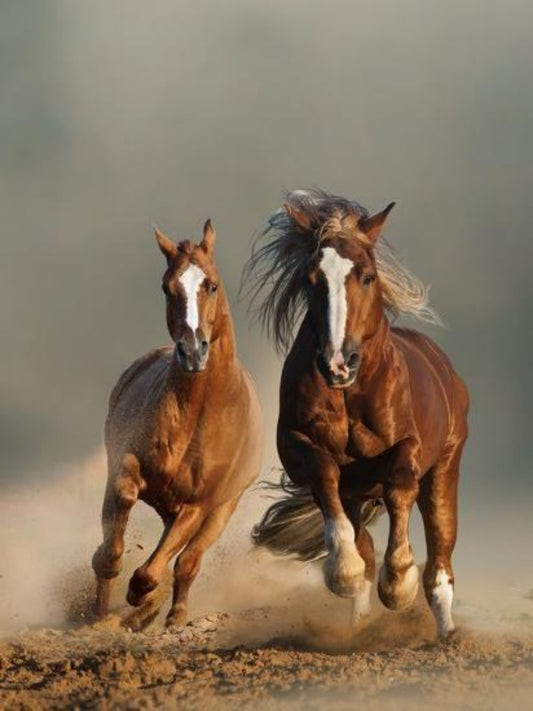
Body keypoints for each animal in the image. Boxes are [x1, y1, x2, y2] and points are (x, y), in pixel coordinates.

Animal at [92, 219, 263, 629]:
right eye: (167, 287)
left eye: (211, 284)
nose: (193, 351)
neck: (196, 414)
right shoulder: (127, 465)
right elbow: (120, 508)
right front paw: (111, 574)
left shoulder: (197, 505)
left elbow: (159, 569)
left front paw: (142, 596)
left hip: (222, 509)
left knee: (188, 561)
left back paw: (173, 614)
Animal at [245, 189, 469, 639]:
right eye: (311, 280)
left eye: (366, 276)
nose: (337, 363)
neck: (350, 395)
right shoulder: (299, 447)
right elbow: (325, 478)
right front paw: (343, 572)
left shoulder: (409, 447)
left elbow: (400, 485)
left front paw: (398, 583)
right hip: (358, 492)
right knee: (362, 539)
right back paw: (360, 622)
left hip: (445, 468)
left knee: (440, 557)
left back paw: (446, 634)